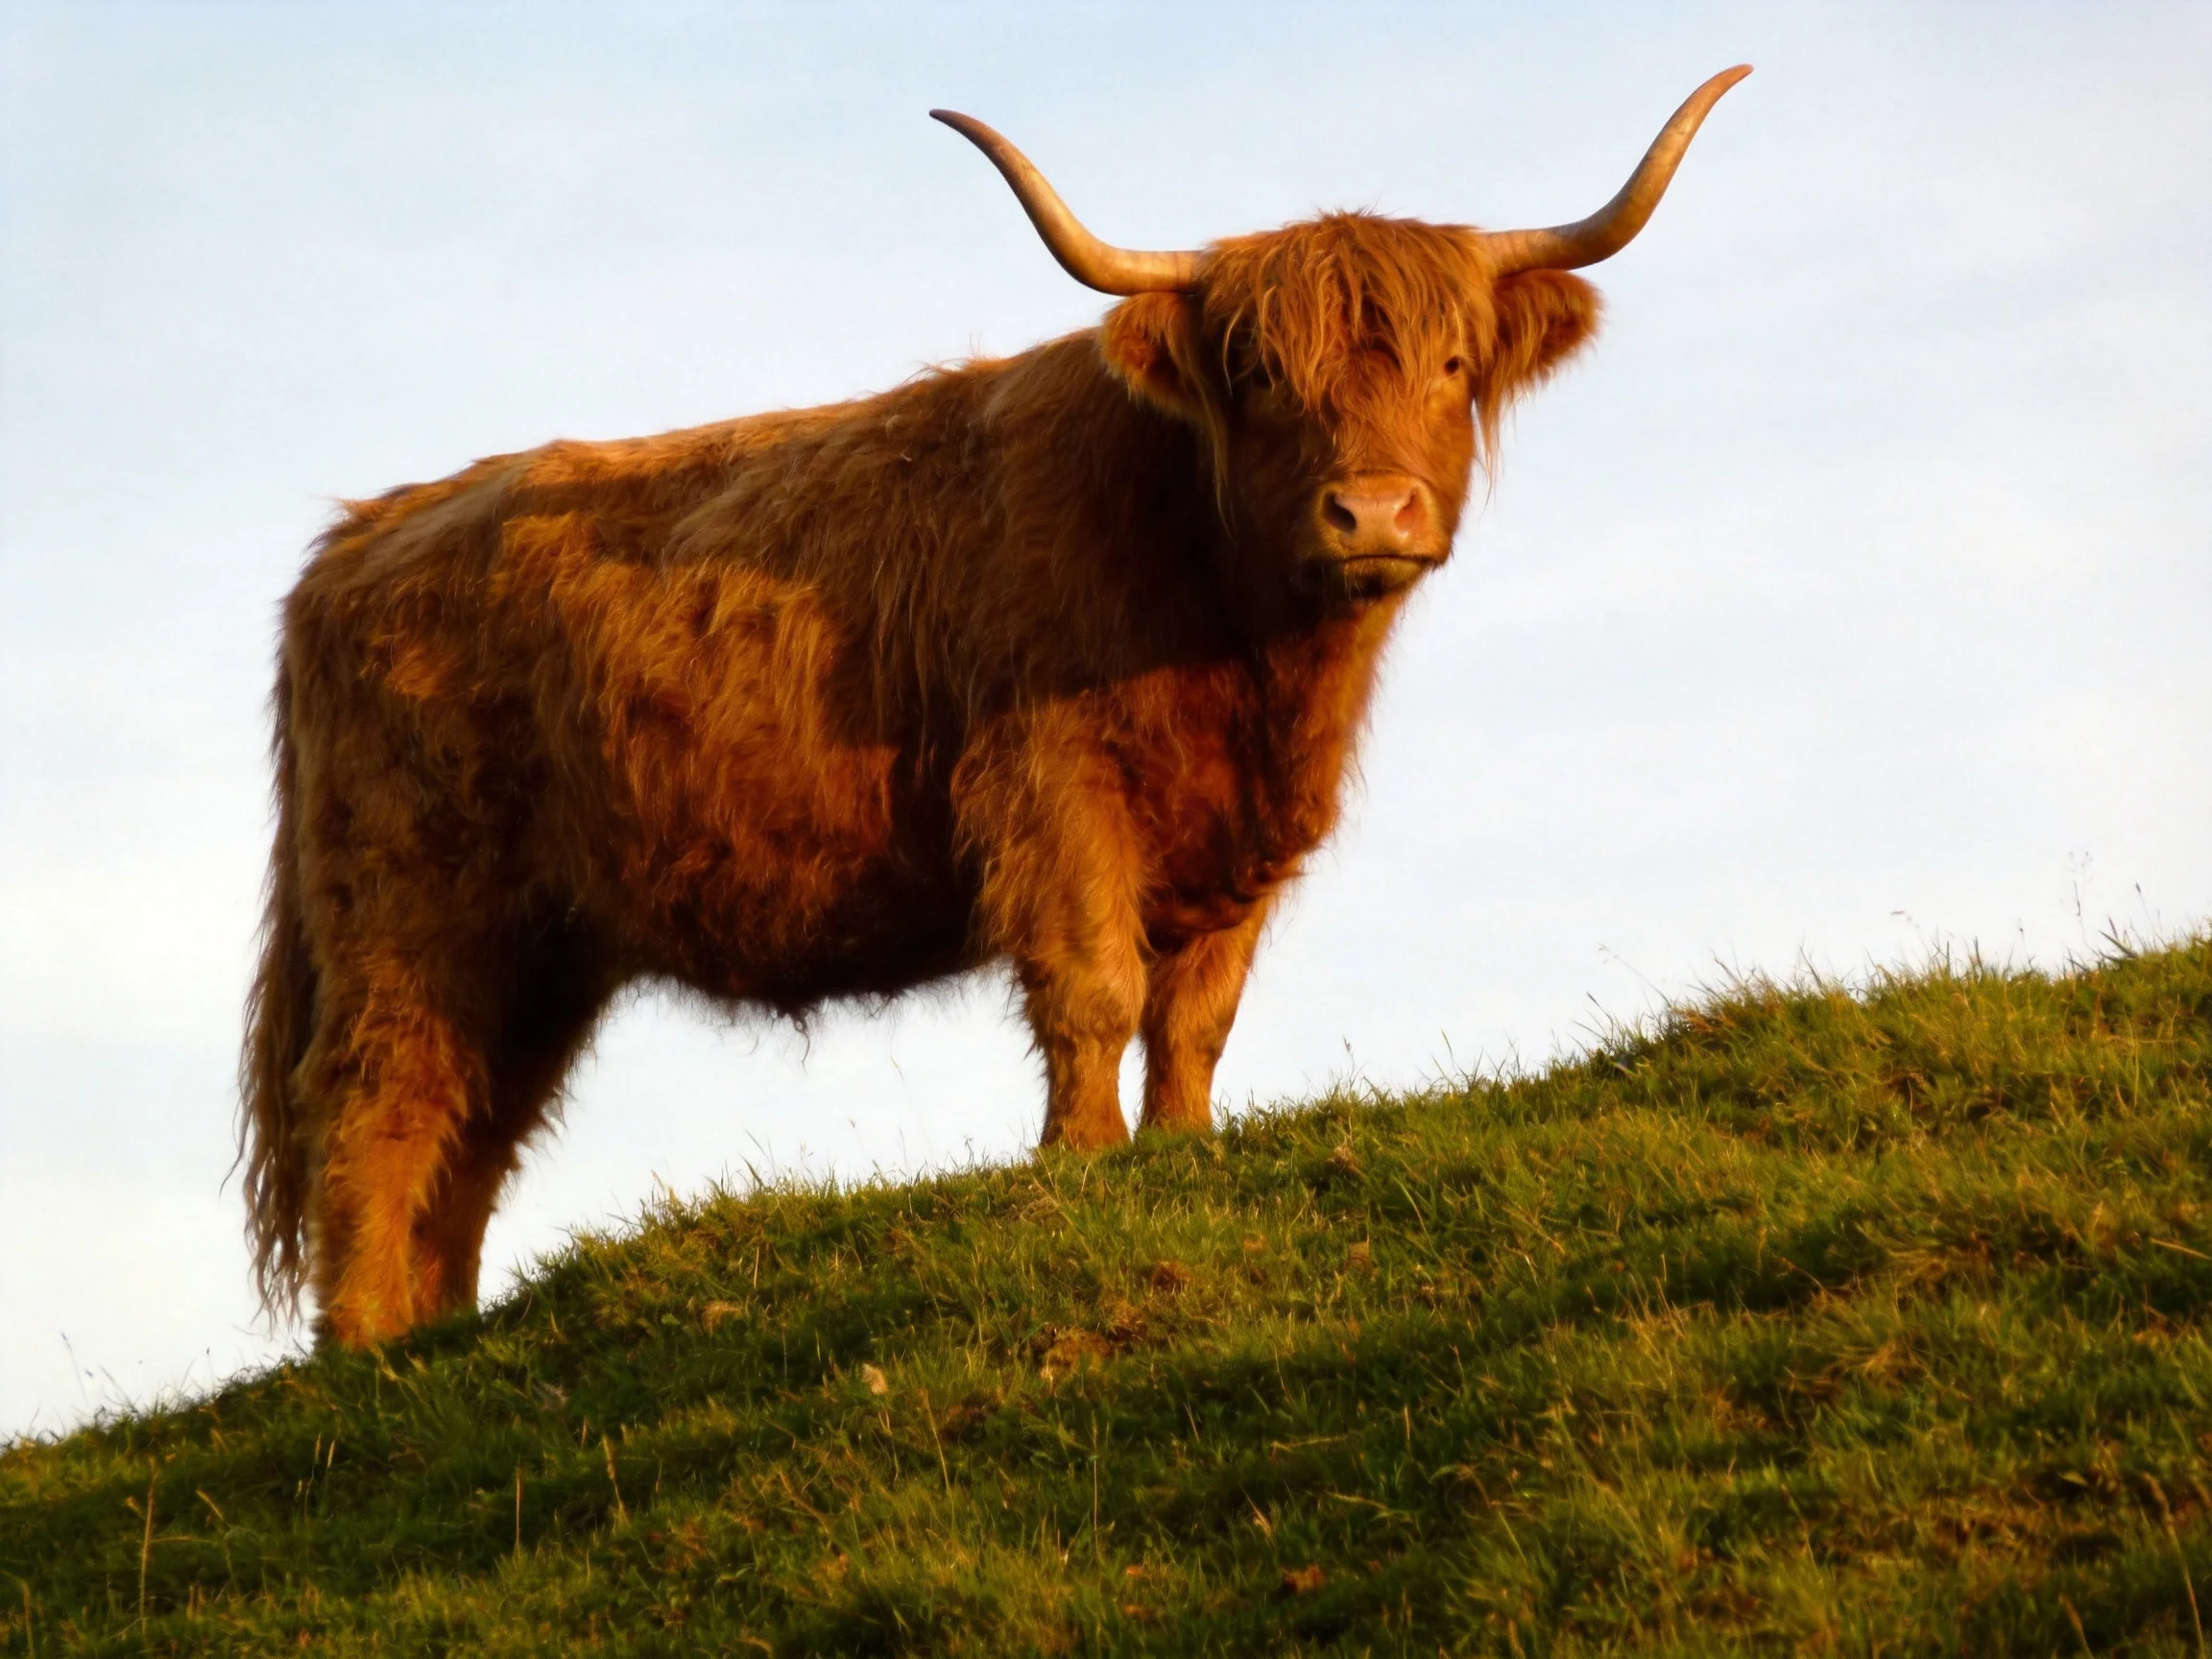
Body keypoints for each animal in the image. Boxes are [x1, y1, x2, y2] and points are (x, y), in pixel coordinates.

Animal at [239, 69, 1749, 1347]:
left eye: (1449, 366)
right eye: (1264, 376)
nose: (1372, 510)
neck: (1237, 640)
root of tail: (365, 532)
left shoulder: (1240, 833)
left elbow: (1197, 1012)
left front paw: (1184, 1150)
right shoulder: (1051, 786)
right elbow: (1095, 985)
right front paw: (1081, 1159)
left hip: (542, 945)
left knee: (474, 1127)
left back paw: (436, 1334)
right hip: (411, 908)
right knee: (379, 1102)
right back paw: (365, 1348)